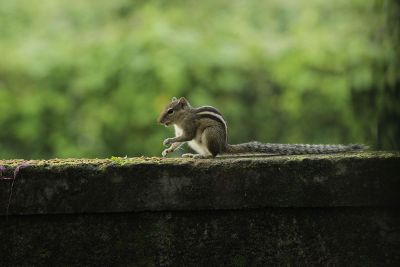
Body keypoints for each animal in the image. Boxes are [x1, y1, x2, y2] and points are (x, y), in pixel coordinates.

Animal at [158, 97, 368, 158]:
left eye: (170, 111)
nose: (159, 122)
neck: (182, 118)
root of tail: (224, 144)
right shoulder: (181, 130)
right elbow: (179, 142)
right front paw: (168, 149)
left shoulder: (189, 128)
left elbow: (184, 137)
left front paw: (168, 141)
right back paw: (191, 155)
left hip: (209, 135)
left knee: (214, 154)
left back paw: (202, 156)